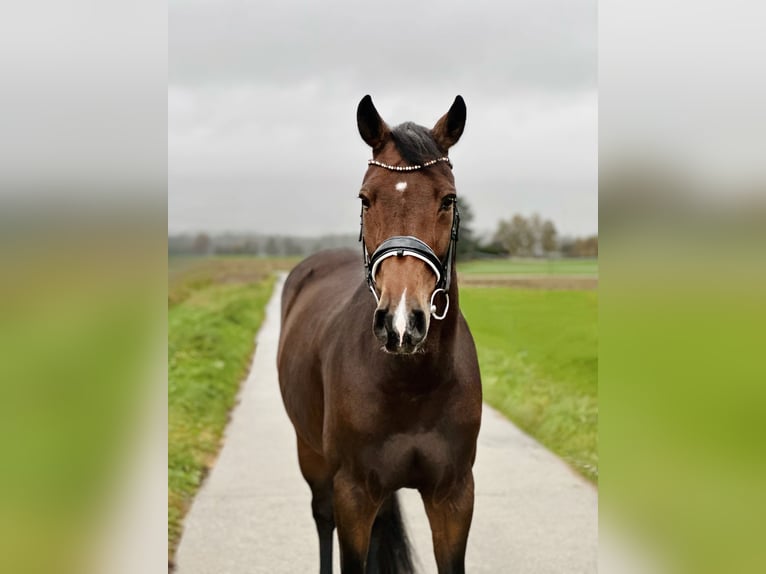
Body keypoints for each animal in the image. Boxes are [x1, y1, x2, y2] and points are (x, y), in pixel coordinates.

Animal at [277, 95, 482, 574]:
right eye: (365, 198)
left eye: (448, 199)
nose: (401, 322)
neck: (412, 384)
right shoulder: (353, 493)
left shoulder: (454, 497)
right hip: (312, 457)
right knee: (322, 518)